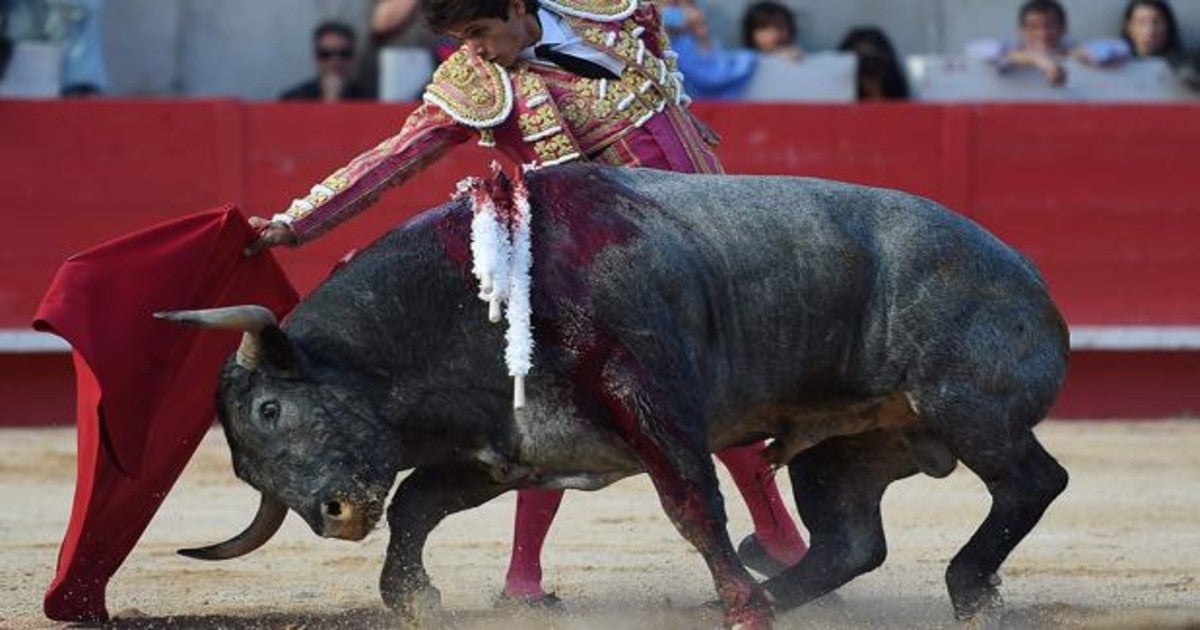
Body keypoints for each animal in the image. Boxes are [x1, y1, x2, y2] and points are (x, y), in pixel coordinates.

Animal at [159, 164, 1070, 624]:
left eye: (271, 410)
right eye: (248, 472)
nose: (335, 516)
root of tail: (1028, 274)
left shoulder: (655, 406)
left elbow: (693, 505)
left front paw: (740, 606)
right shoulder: (507, 451)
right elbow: (419, 504)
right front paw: (412, 598)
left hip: (969, 406)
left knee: (1033, 482)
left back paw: (966, 591)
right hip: (849, 448)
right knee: (850, 539)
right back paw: (768, 598)